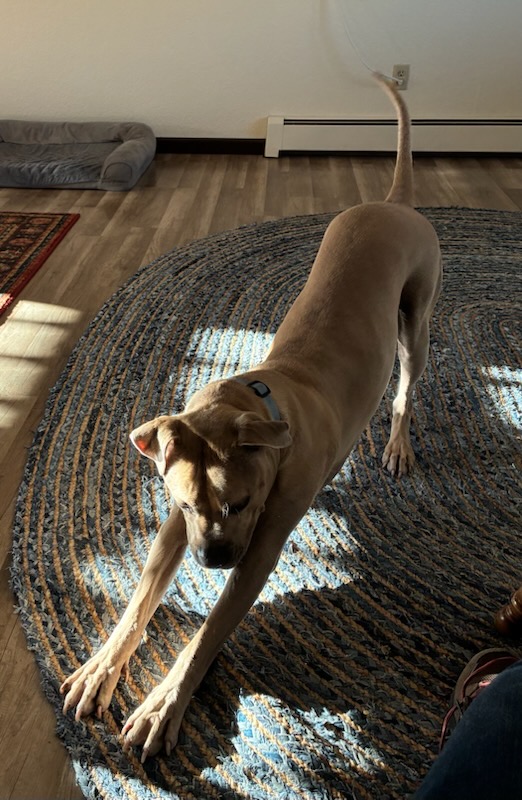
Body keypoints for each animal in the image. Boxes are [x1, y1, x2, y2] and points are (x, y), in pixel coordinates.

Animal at [61, 73, 442, 761]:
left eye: (239, 503)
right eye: (188, 505)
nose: (212, 560)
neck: (258, 402)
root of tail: (392, 203)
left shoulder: (260, 548)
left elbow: (207, 633)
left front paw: (163, 706)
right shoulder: (172, 526)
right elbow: (137, 601)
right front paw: (102, 668)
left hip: (416, 320)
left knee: (405, 388)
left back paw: (398, 442)